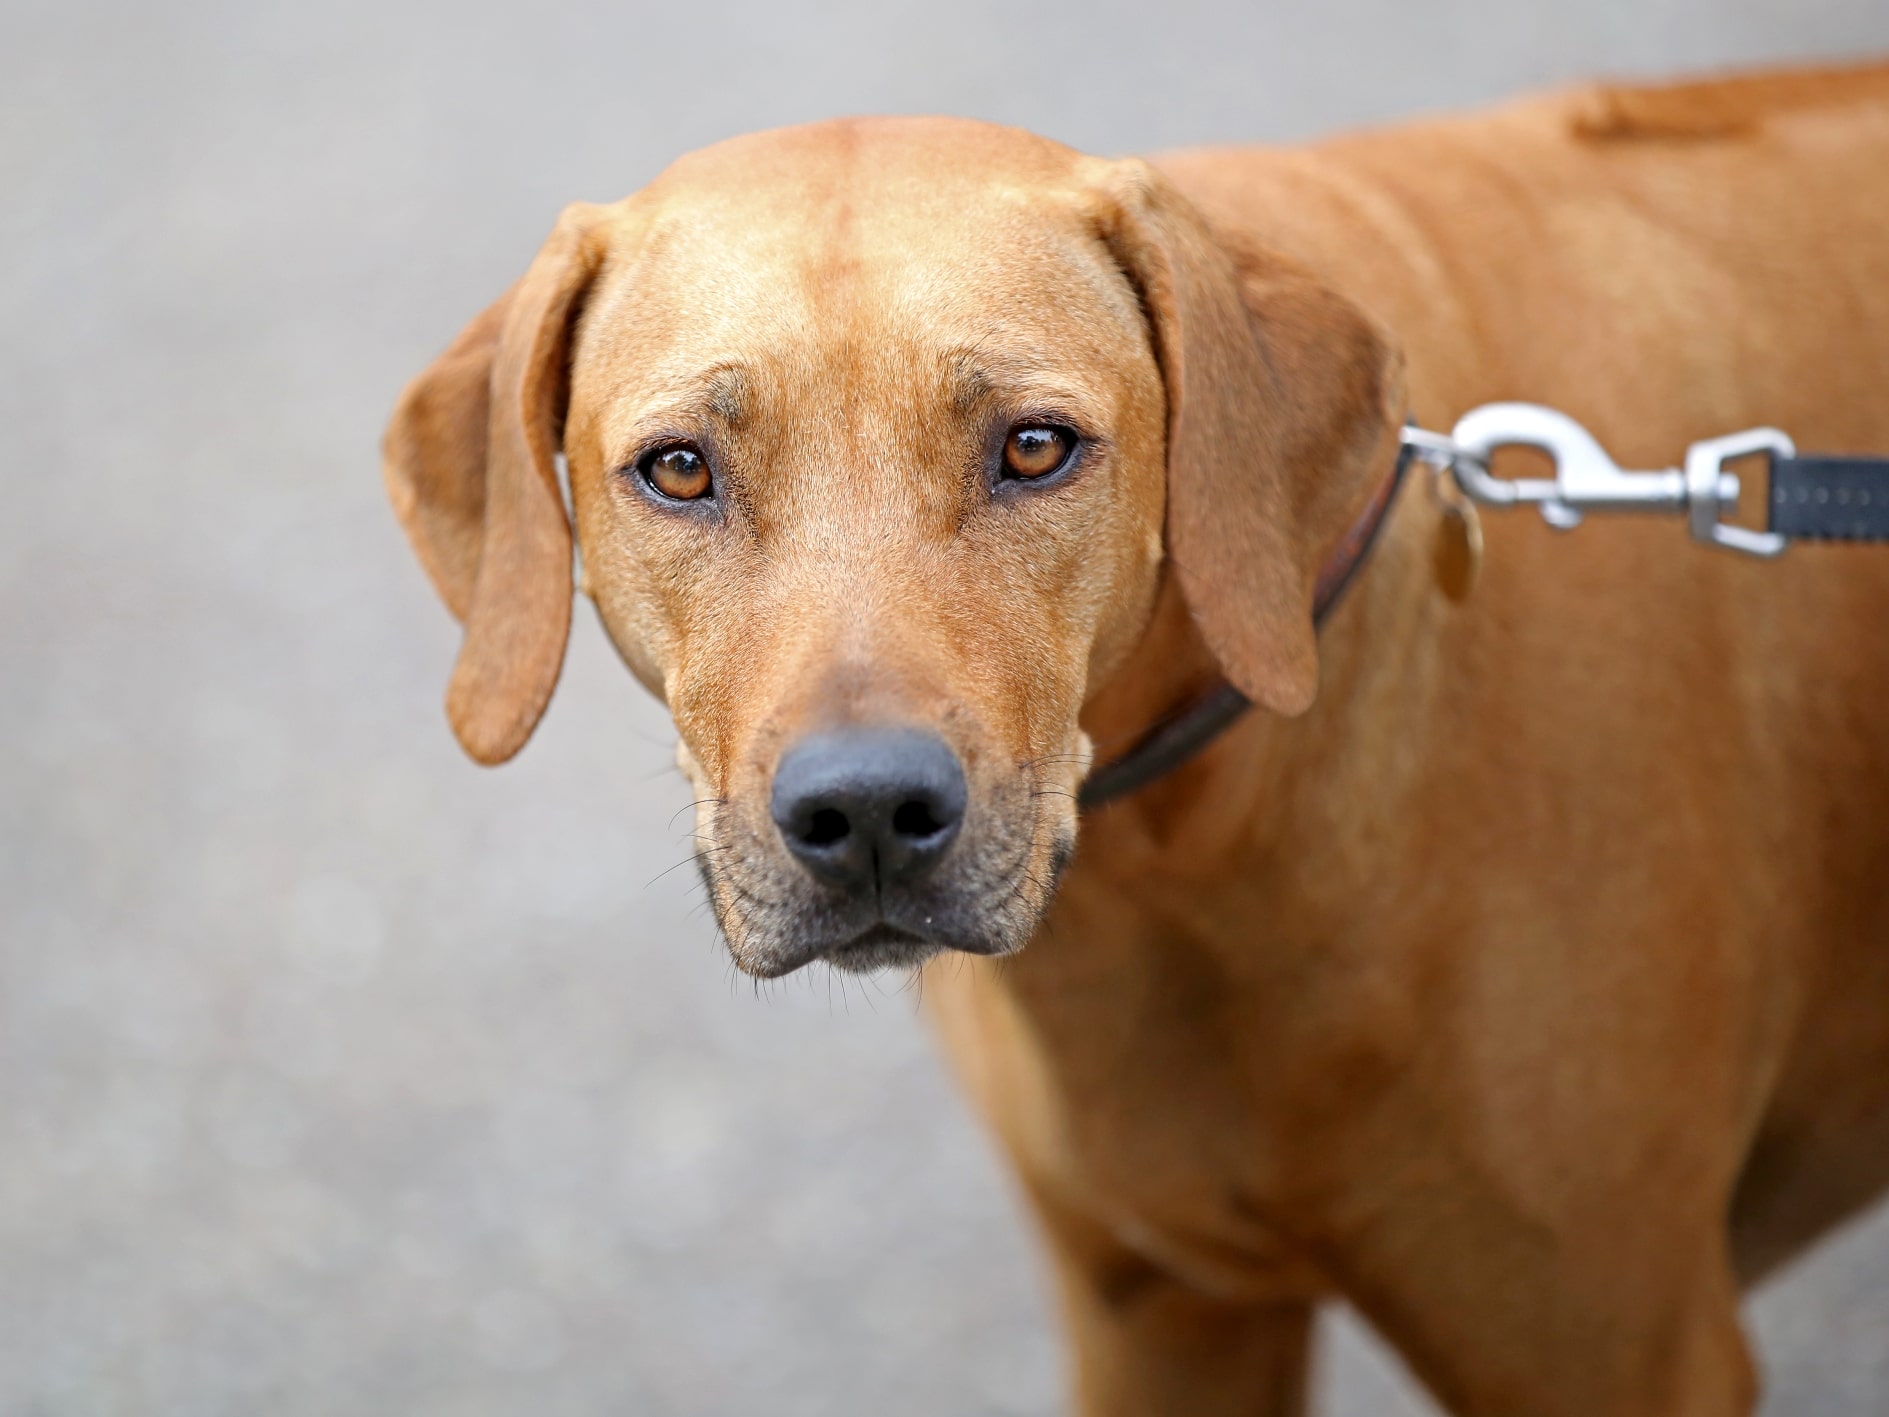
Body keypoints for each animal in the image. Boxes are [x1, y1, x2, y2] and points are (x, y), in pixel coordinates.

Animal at [379, 60, 1889, 1413]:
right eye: (680, 469)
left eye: (1035, 447)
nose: (863, 814)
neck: (1187, 860)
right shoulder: (1154, 1317)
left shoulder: (1614, 1353)